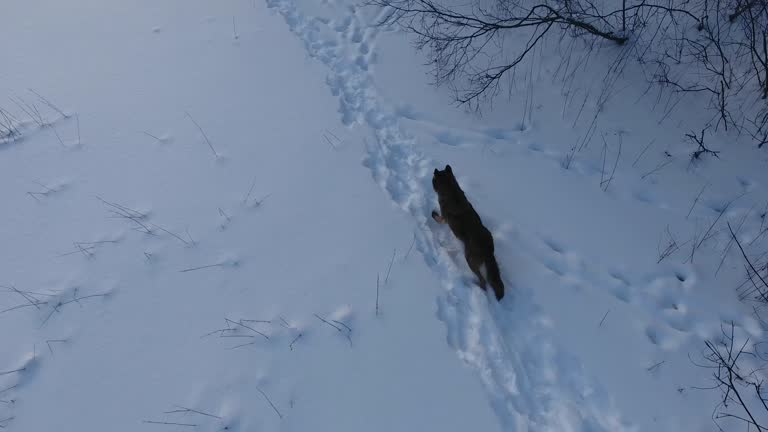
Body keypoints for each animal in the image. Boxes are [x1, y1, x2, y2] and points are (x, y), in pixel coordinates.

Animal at [432, 165, 504, 300]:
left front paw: (433, 214)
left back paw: (477, 287)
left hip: (470, 260)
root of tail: (489, 250)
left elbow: (438, 218)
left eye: (433, 180)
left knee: (483, 281)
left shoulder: (444, 218)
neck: (451, 190)